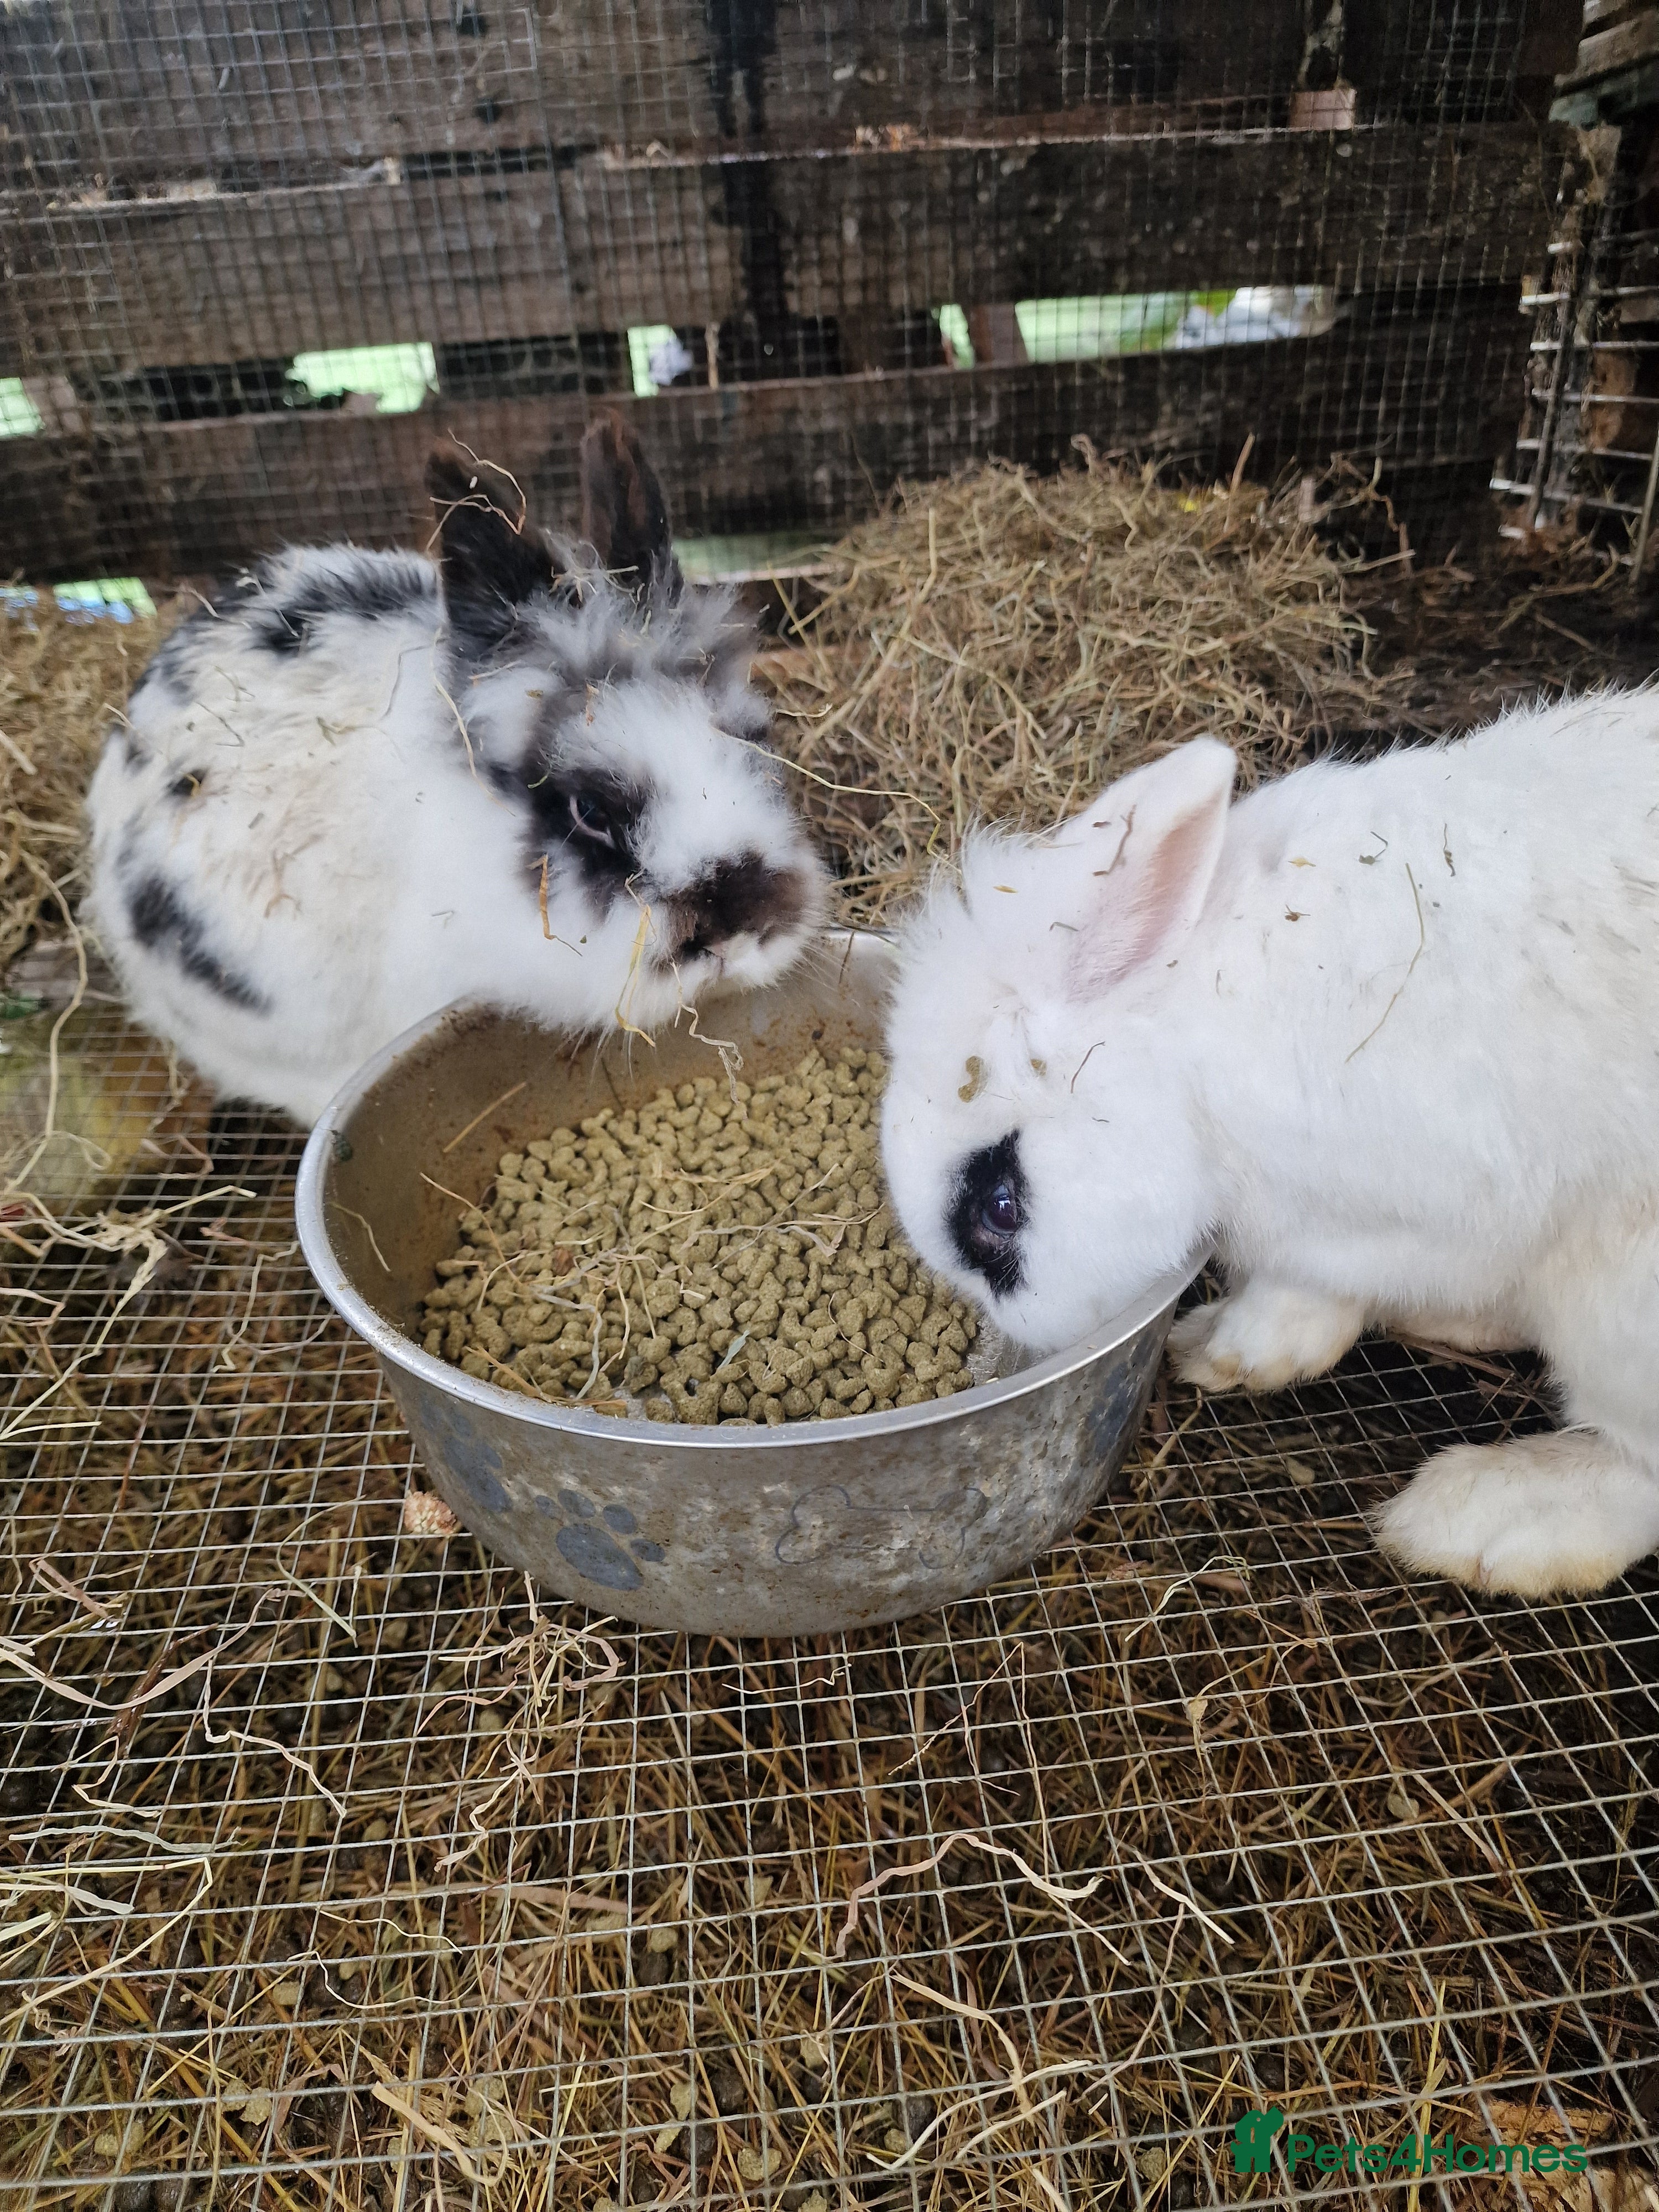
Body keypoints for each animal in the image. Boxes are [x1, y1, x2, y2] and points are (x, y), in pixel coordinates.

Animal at [879, 696, 1659, 1598]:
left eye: (1000, 1207)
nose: (1008, 1346)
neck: (1187, 1042)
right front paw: (1220, 1349)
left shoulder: (1412, 1214)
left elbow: (1315, 1283)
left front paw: (1239, 1344)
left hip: (1618, 1307)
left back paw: (1476, 1519)